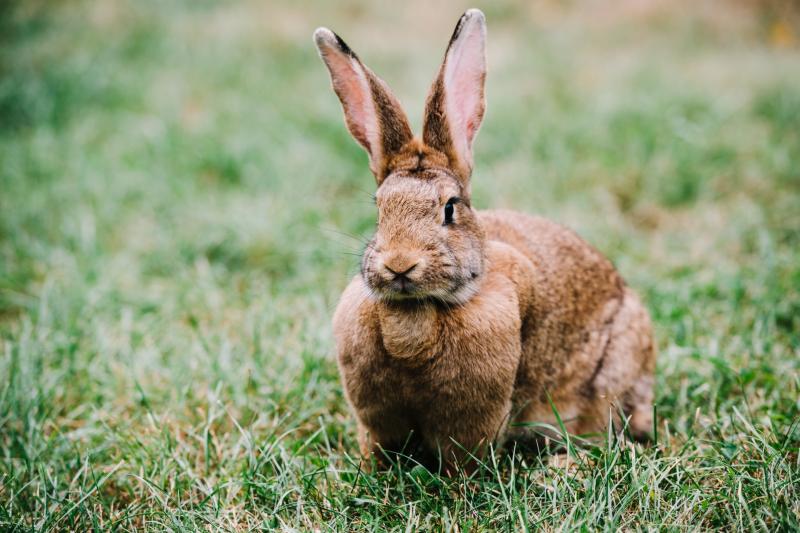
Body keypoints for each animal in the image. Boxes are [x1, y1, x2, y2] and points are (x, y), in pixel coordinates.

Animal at [314, 9, 656, 473]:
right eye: (379, 208)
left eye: (450, 208)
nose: (400, 264)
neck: (416, 313)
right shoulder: (377, 420)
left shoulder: (475, 420)